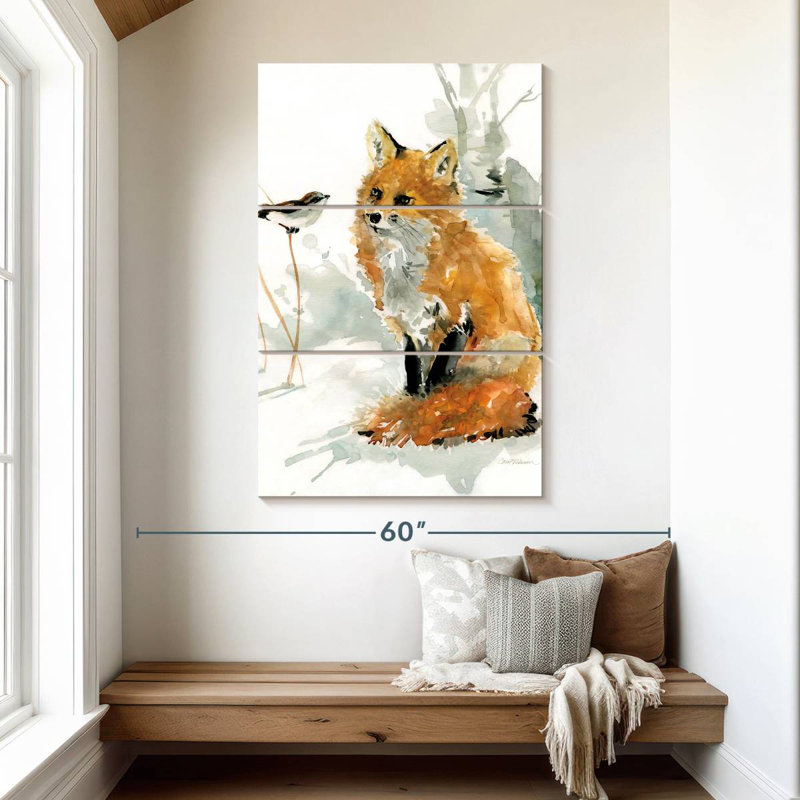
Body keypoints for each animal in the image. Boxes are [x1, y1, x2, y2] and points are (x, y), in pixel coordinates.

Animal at [352, 121, 542, 448]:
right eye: (376, 192)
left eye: (404, 200)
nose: (373, 216)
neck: (406, 268)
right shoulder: (411, 328)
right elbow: (415, 379)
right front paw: (414, 405)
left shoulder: (458, 318)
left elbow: (438, 381)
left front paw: (424, 414)